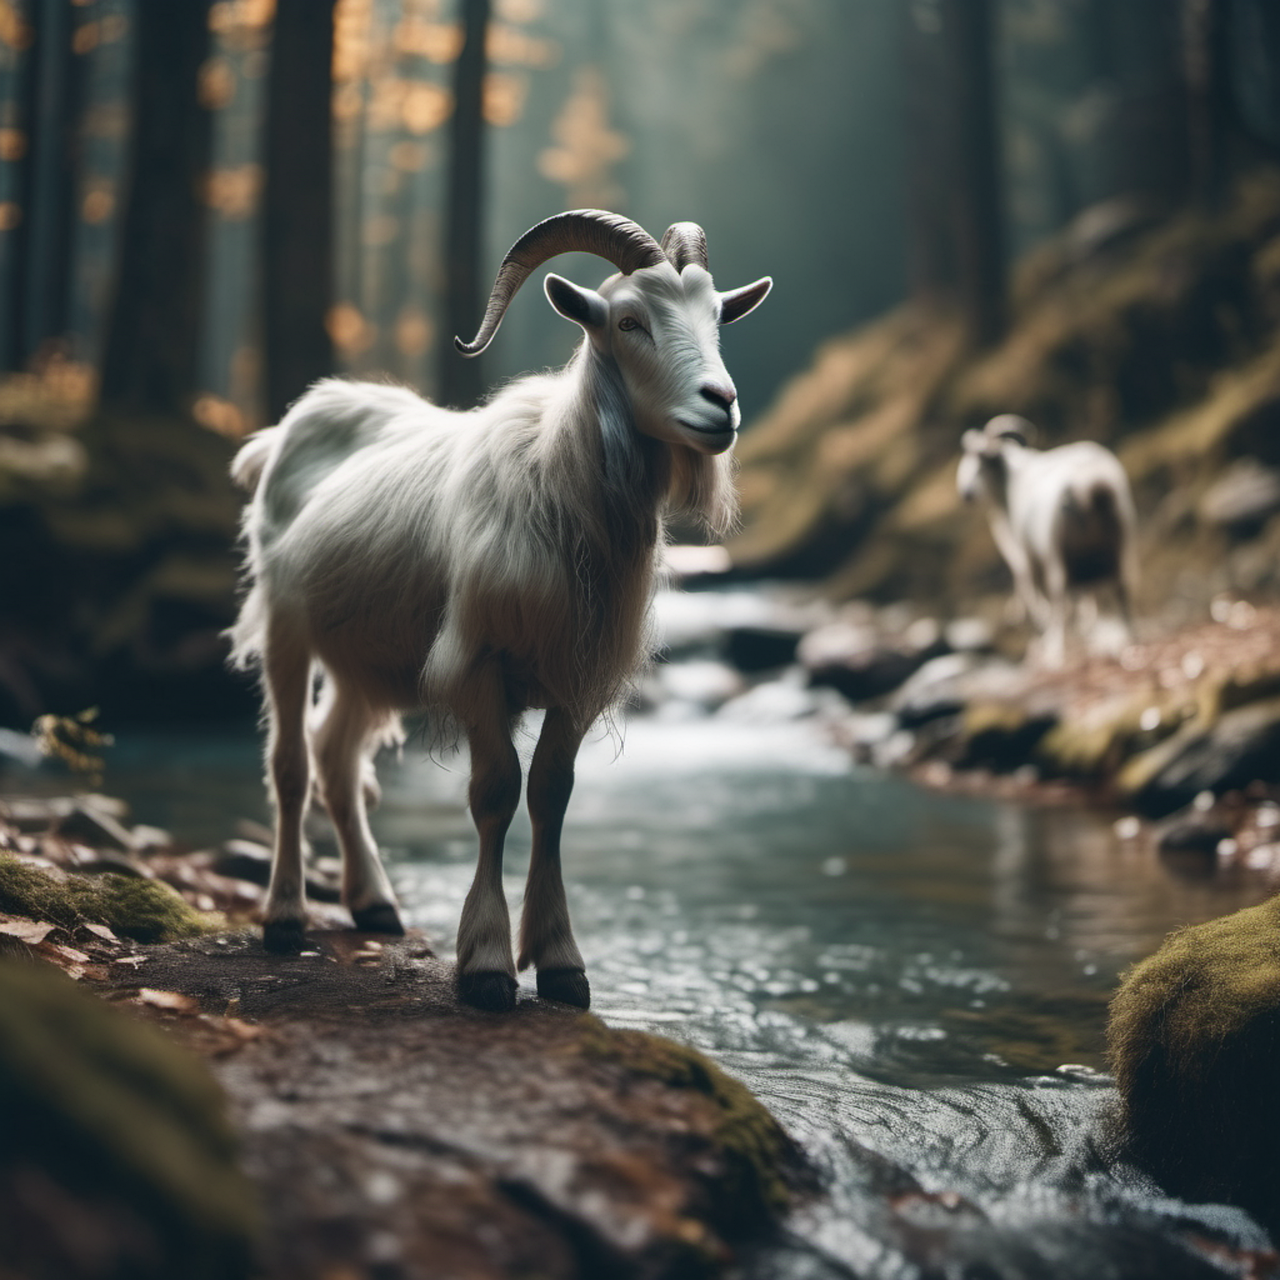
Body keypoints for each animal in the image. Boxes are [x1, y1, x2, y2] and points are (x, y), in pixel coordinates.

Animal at [229, 210, 771, 1011]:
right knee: (291, 764)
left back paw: (374, 903)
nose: (721, 403)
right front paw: (486, 964)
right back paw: (286, 918)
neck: (556, 483)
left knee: (335, 757)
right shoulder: (481, 665)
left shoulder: (576, 678)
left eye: (718, 319)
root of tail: (281, 434)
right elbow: (495, 794)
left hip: (369, 653)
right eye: (630, 320)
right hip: (286, 628)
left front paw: (562, 963)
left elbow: (551, 795)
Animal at [957, 414, 1138, 667]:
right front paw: (1087, 622)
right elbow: (1086, 598)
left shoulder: (1027, 556)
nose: (966, 493)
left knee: (1059, 603)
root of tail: (1088, 489)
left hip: (1056, 555)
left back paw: (1054, 650)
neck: (1011, 486)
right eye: (967, 458)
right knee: (1124, 592)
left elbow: (1033, 592)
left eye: (985, 461)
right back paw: (1130, 638)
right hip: (1121, 544)